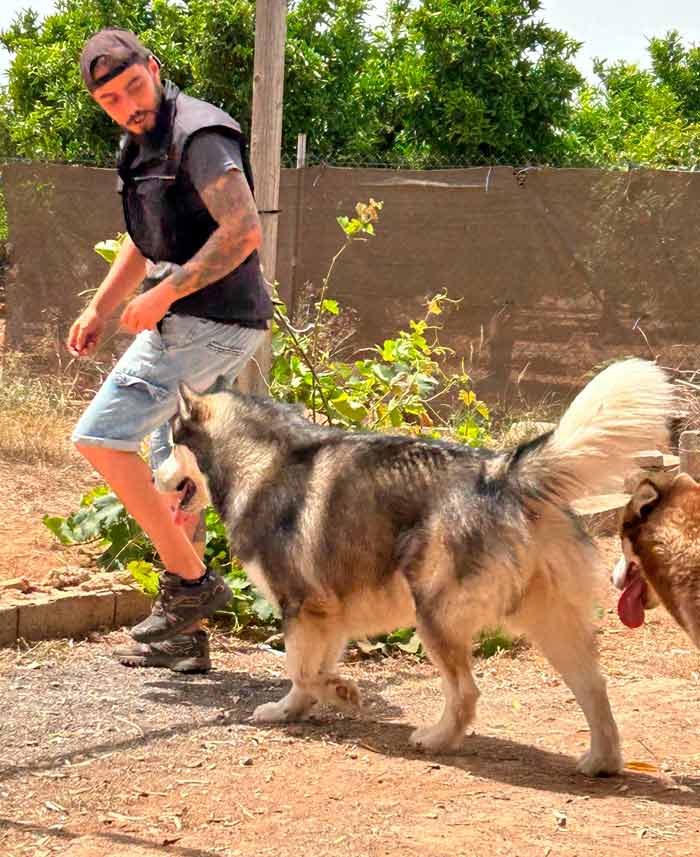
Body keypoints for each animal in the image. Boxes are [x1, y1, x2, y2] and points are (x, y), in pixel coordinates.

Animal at [156, 358, 668, 772]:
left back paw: (438, 739)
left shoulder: (303, 608)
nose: (155, 478)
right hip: (552, 626)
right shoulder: (327, 615)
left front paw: (337, 694)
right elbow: (306, 673)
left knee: (466, 692)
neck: (259, 462)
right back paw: (602, 761)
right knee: (595, 690)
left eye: (169, 442)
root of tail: (502, 472)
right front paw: (292, 711)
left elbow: (303, 670)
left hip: (434, 617)